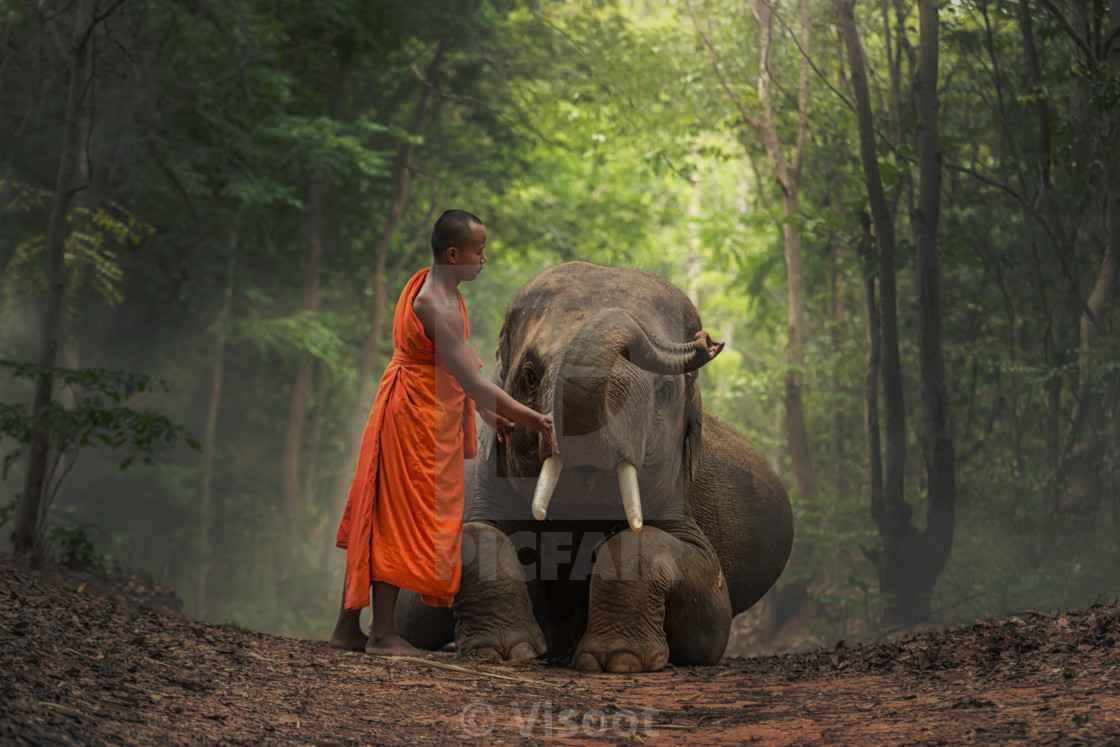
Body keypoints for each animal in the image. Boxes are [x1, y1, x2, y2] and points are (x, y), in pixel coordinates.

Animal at [398, 262, 792, 671]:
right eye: (529, 376)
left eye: (666, 390)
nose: (708, 342)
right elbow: (468, 542)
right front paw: (505, 652)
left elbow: (709, 621)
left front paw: (617, 661)